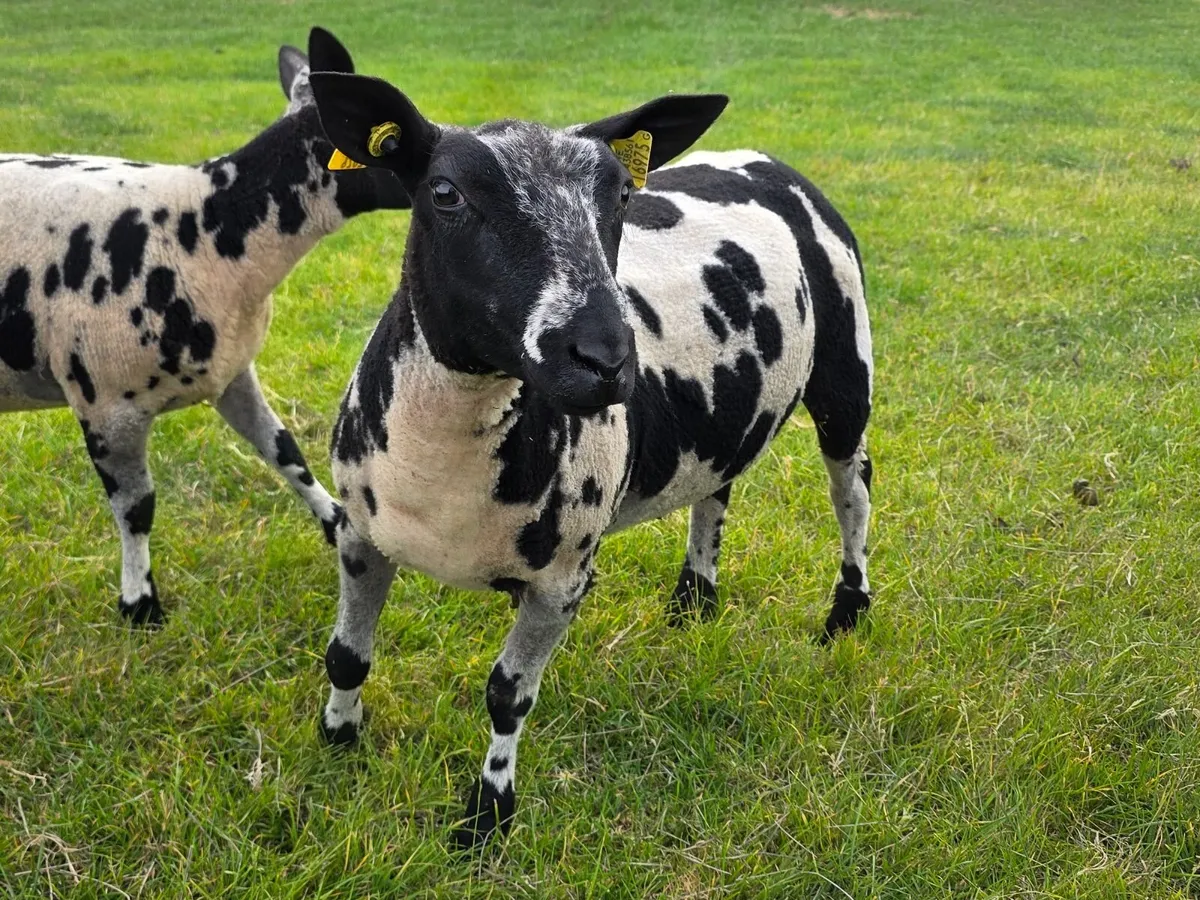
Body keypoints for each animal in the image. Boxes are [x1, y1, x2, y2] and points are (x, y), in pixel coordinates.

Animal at [0, 28, 409, 626]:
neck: (212, 228)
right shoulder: (107, 405)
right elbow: (136, 508)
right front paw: (140, 603)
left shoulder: (231, 371)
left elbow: (285, 450)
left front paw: (335, 520)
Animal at [308, 71, 873, 849]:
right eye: (445, 193)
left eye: (622, 197)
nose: (605, 359)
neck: (441, 460)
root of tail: (766, 159)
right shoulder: (360, 535)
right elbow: (346, 654)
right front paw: (339, 739)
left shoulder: (563, 580)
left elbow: (508, 697)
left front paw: (488, 815)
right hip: (726, 415)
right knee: (717, 488)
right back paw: (694, 602)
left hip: (846, 364)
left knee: (853, 491)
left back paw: (847, 613)